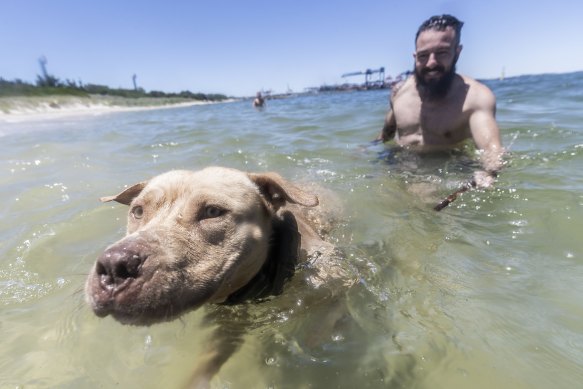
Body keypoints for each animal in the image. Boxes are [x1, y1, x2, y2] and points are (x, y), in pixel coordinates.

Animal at [84, 165, 354, 386]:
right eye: (138, 211)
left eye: (213, 211)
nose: (115, 265)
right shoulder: (227, 328)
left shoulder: (341, 279)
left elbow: (333, 311)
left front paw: (315, 339)